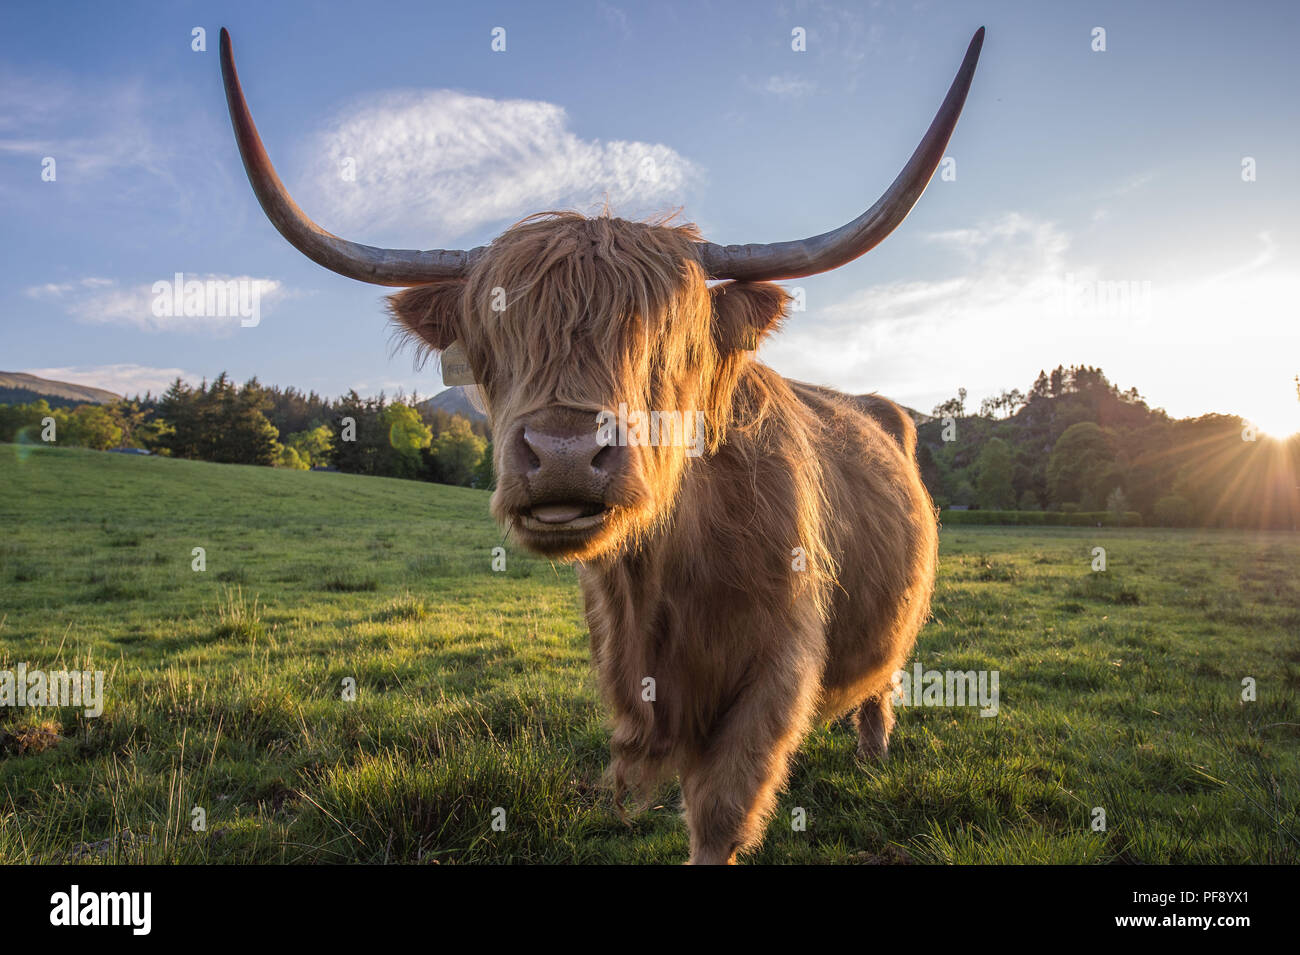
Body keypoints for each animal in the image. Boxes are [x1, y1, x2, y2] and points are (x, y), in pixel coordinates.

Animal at [218, 26, 982, 862]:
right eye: (492, 339)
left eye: (669, 337)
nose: (563, 452)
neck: (665, 575)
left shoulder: (777, 666)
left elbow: (722, 810)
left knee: (884, 677)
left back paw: (873, 752)